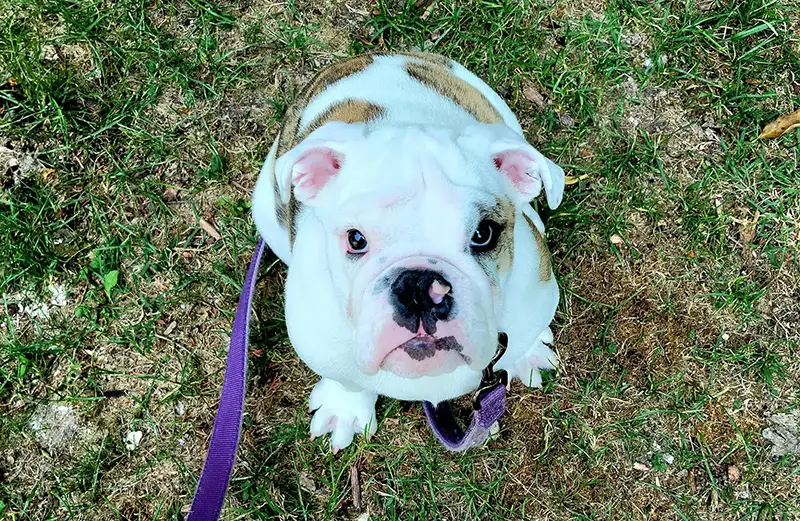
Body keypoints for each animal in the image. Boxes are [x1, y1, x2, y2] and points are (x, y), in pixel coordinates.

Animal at [253, 53, 564, 450]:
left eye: (483, 234)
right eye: (356, 239)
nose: (419, 288)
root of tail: (374, 56)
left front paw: (527, 353)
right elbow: (348, 381)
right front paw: (346, 409)